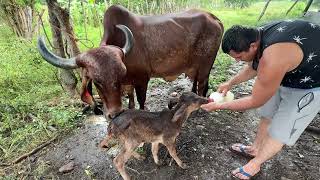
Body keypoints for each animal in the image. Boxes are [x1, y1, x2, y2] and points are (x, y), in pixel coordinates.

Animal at [37, 4, 222, 119]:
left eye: (119, 75)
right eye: (96, 81)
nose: (115, 114)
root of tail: (213, 17)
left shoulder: (142, 79)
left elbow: (141, 101)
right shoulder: (129, 83)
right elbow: (131, 100)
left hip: (205, 65)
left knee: (202, 86)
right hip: (197, 67)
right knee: (196, 83)